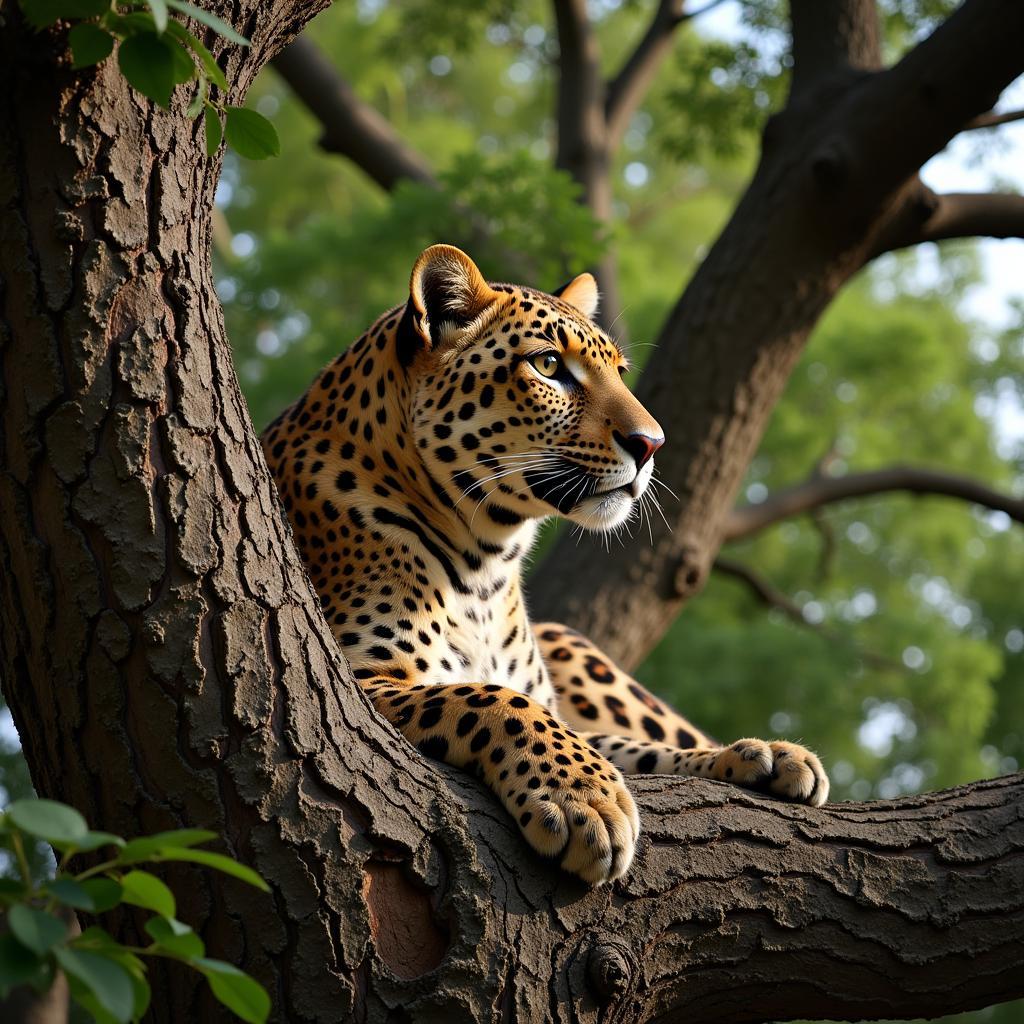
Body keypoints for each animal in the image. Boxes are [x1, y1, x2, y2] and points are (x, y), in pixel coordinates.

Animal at [260, 243, 827, 884]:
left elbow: (624, 743)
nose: (652, 443)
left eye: (619, 373)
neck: (485, 565)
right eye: (550, 365)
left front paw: (756, 754)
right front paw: (585, 799)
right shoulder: (355, 681)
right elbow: (496, 699)